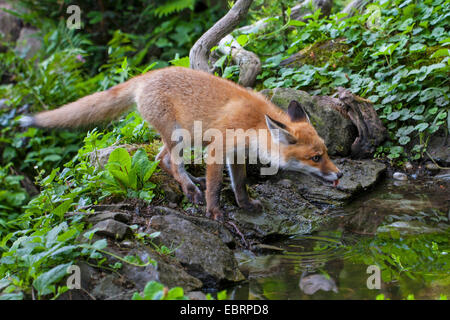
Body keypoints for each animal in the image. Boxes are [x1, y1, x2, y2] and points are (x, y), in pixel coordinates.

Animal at [21, 65, 342, 220]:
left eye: (326, 152)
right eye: (316, 158)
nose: (339, 174)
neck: (253, 125)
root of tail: (146, 75)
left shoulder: (236, 155)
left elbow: (239, 184)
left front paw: (245, 205)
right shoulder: (216, 149)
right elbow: (216, 187)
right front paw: (214, 212)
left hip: (181, 136)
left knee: (160, 159)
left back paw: (190, 184)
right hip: (180, 136)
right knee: (168, 161)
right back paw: (190, 190)